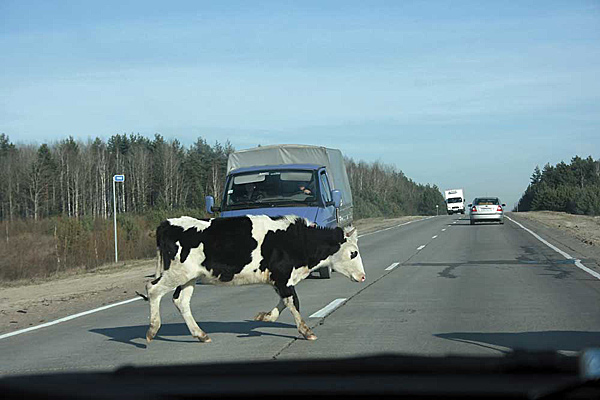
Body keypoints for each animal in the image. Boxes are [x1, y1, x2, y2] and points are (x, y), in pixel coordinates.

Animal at [142, 214, 366, 342]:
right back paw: (152, 330)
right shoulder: (283, 275)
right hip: (177, 273)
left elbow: (284, 301)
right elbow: (293, 301)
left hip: (188, 277)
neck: (297, 240)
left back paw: (201, 334)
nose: (363, 276)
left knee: (181, 300)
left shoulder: (280, 279)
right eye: (353, 253)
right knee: (153, 289)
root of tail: (166, 224)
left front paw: (265, 316)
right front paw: (306, 331)